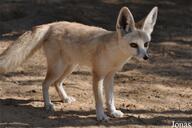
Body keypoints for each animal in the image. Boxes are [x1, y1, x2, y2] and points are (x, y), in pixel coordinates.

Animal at [0, 6, 158, 121]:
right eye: (133, 45)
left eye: (146, 44)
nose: (146, 57)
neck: (114, 55)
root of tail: (52, 24)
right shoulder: (98, 76)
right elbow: (100, 100)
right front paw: (101, 116)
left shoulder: (110, 76)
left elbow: (110, 98)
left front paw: (113, 112)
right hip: (58, 68)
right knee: (45, 83)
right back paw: (48, 104)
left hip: (69, 67)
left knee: (57, 83)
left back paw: (64, 98)